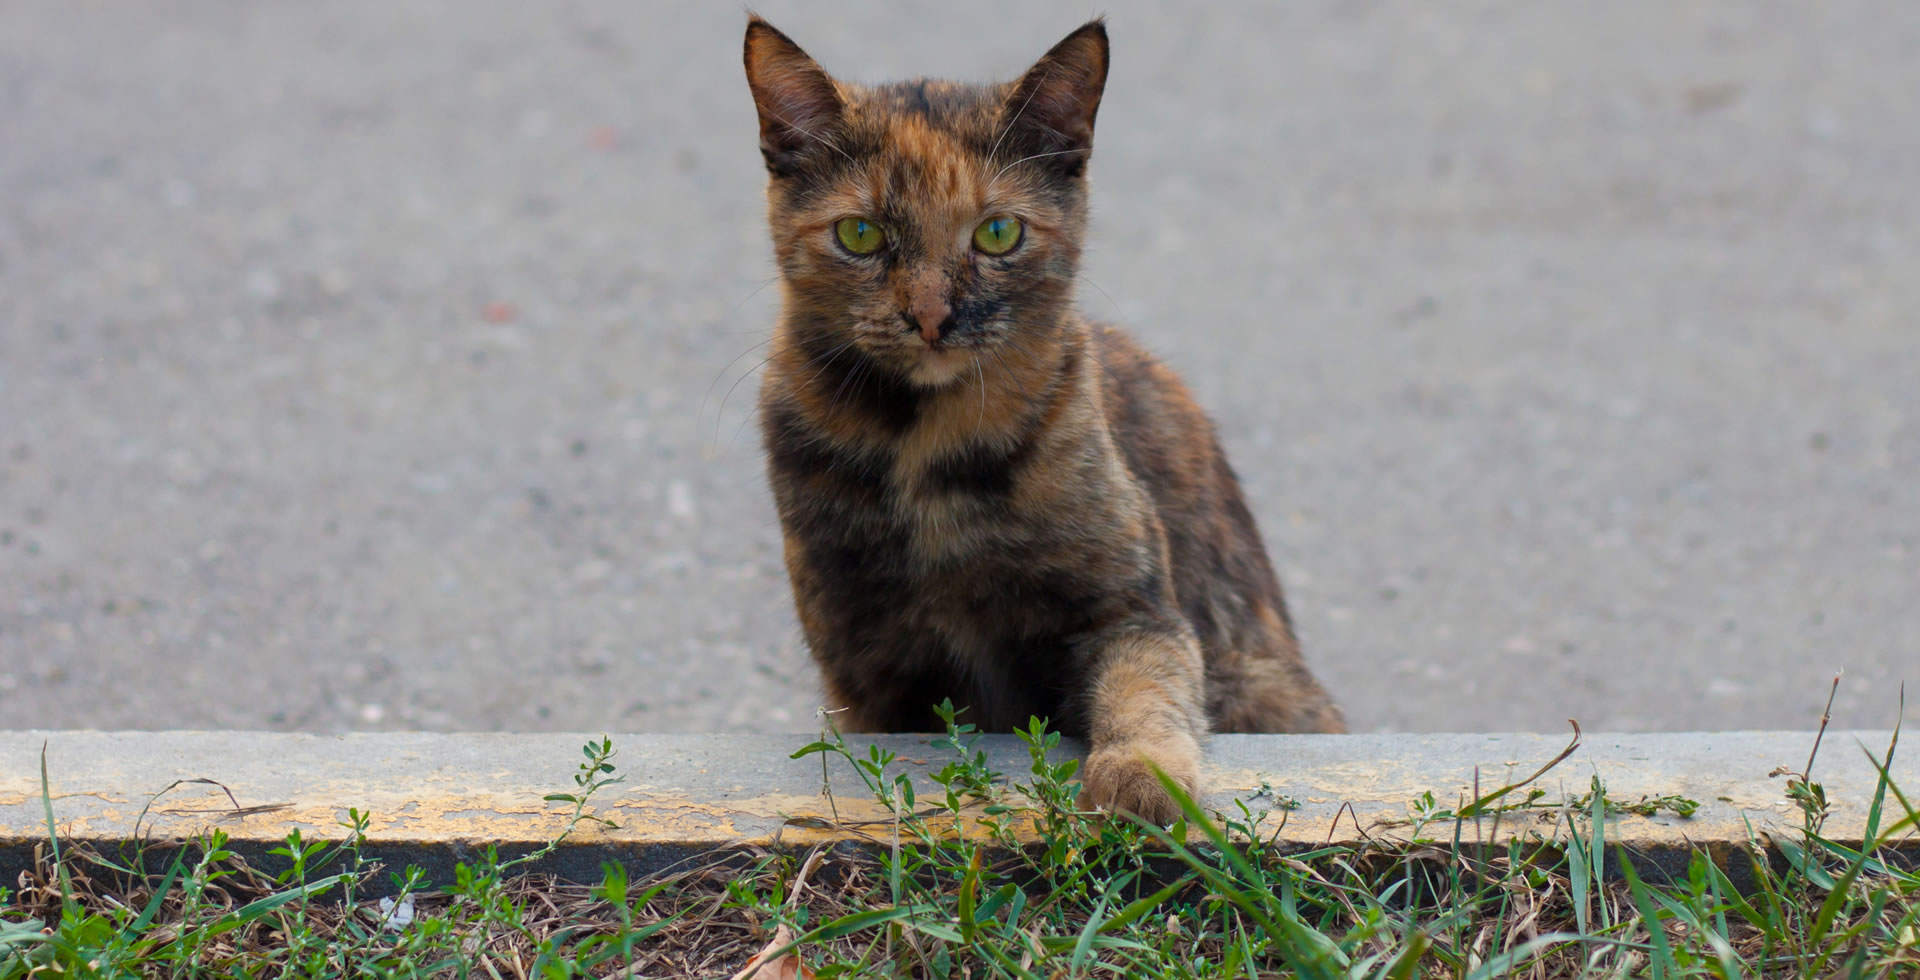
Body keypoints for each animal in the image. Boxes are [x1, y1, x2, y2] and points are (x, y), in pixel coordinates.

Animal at [741, 17, 1344, 826]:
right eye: (860, 235)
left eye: (998, 233)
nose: (931, 316)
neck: (924, 445)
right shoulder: (869, 668)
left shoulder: (1129, 609)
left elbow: (1144, 689)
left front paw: (1144, 777)